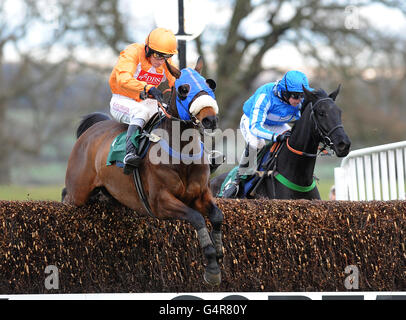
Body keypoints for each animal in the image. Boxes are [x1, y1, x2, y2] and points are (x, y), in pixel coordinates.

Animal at [62, 57, 224, 284]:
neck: (181, 153)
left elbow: (217, 216)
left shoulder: (200, 195)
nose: (210, 119)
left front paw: (218, 254)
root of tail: (92, 130)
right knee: (66, 196)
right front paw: (211, 266)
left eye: (210, 85)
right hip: (77, 192)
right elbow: (197, 218)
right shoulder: (160, 201)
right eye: (183, 89)